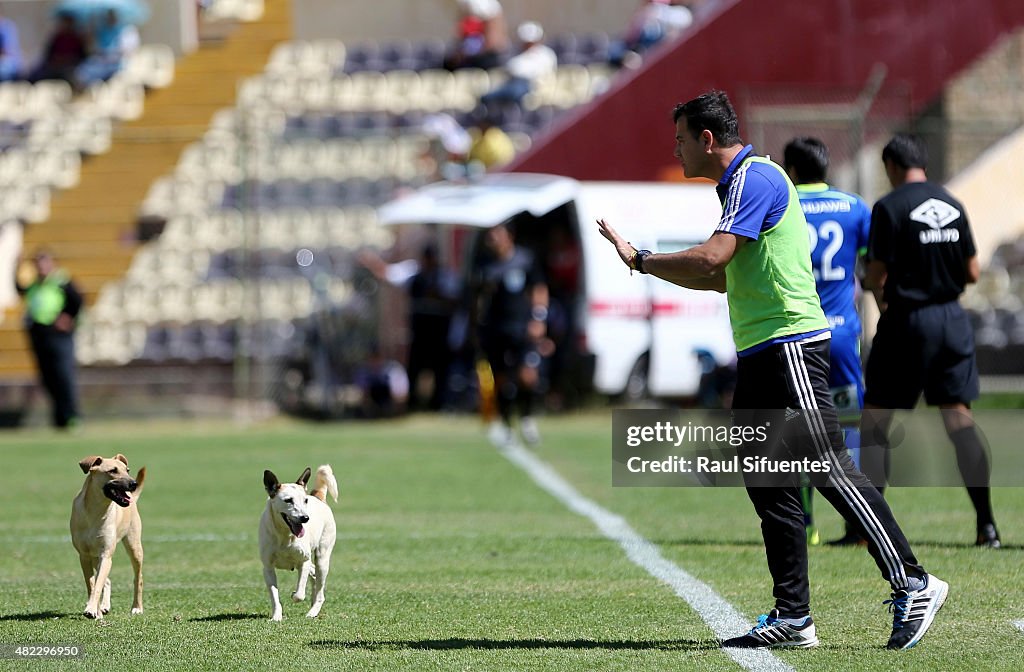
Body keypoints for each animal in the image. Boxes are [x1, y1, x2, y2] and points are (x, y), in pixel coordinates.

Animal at [70, 454, 145, 618]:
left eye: (127, 470)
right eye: (112, 470)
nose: (133, 483)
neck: (95, 511)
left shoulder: (106, 553)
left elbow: (97, 584)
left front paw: (92, 609)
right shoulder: (84, 555)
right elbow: (91, 583)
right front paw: (96, 610)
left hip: (134, 546)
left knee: (138, 578)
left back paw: (137, 607)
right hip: (94, 557)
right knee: (107, 580)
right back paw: (103, 607)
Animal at [258, 467, 337, 618]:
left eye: (305, 500)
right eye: (288, 500)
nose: (305, 518)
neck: (285, 534)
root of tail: (318, 497)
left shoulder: (303, 561)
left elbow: (299, 594)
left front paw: (295, 595)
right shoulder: (268, 567)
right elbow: (274, 595)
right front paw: (276, 617)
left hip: (323, 557)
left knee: (320, 589)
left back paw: (312, 612)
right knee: (314, 573)